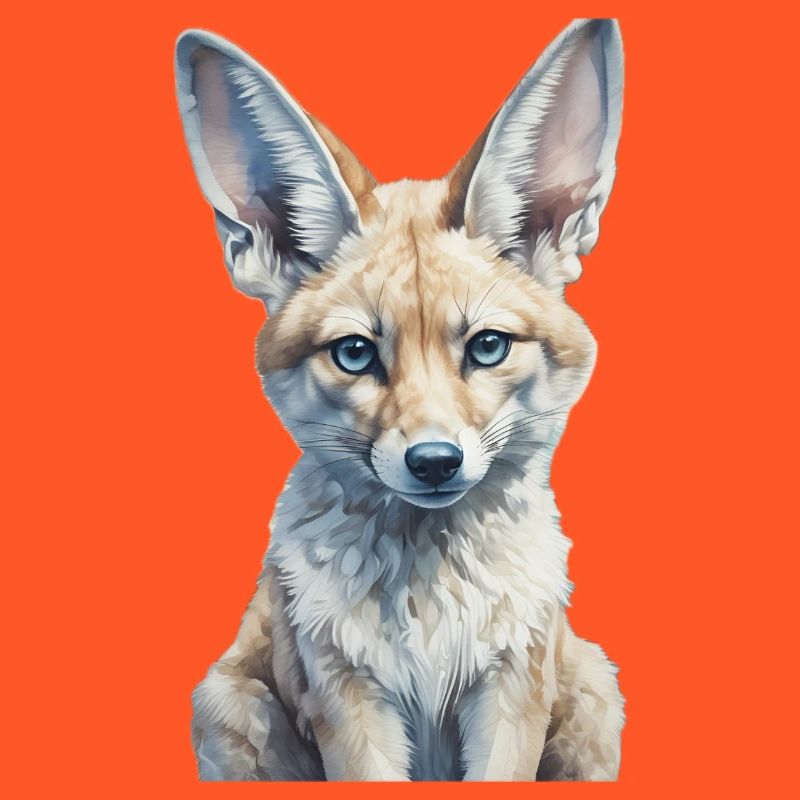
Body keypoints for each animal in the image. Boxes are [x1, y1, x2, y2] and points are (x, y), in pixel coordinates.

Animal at [175, 17, 625, 781]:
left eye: (487, 346)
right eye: (356, 353)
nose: (435, 461)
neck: (431, 608)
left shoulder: (512, 689)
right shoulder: (347, 697)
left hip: (595, 695)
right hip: (226, 706)